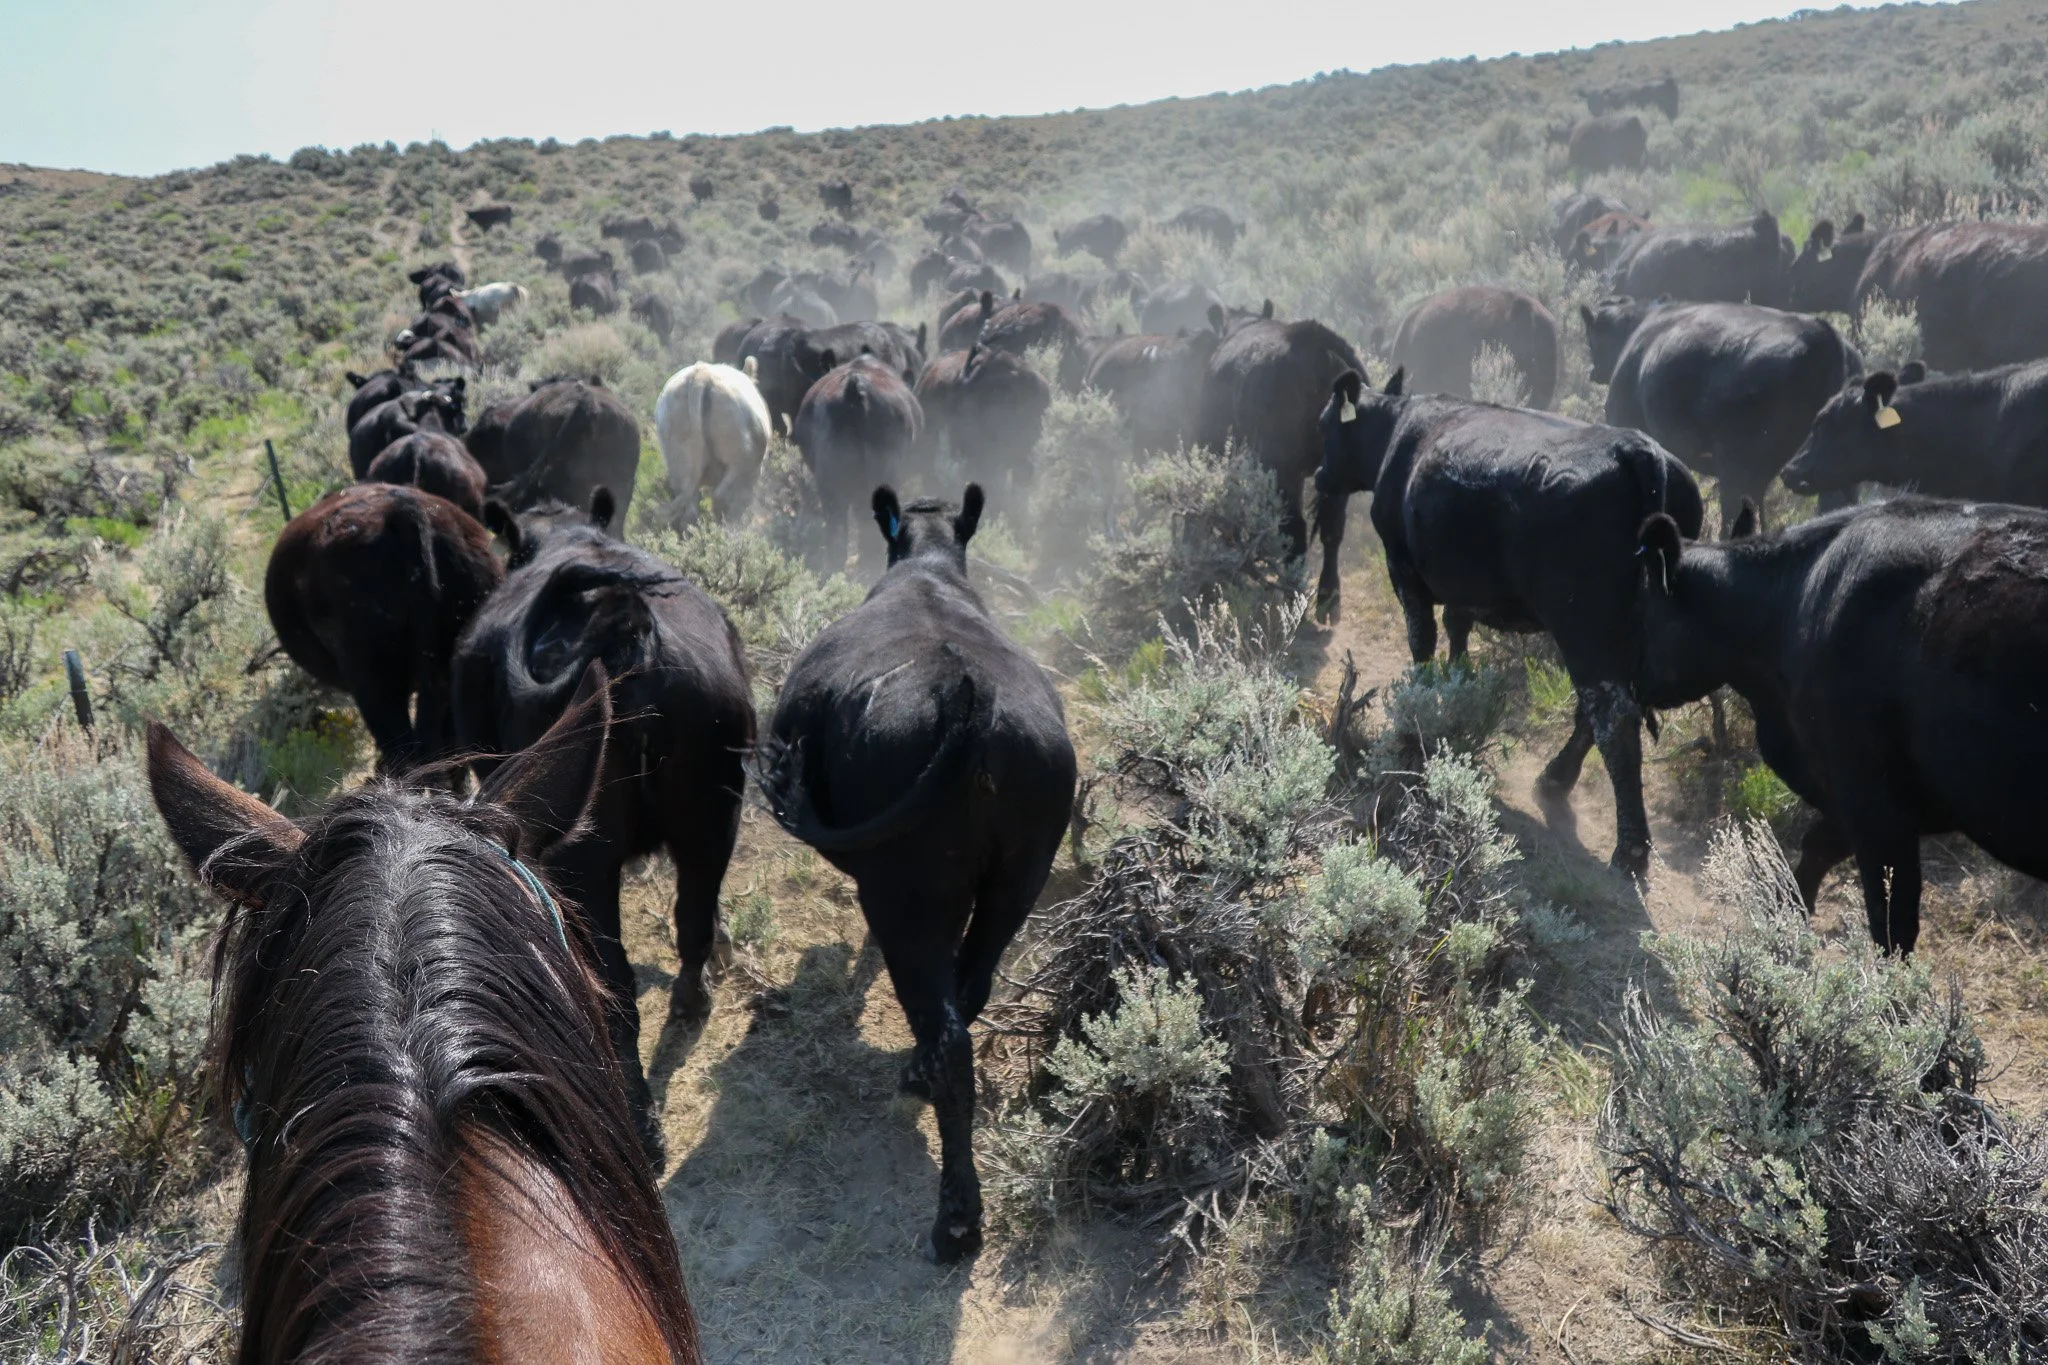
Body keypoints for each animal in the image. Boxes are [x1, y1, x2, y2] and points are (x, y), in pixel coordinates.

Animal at [454, 488, 755, 1157]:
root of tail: (628, 630)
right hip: (713, 814)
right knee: (692, 920)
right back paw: (693, 996)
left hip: (587, 855)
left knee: (614, 986)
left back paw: (640, 1121)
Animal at [757, 484, 1075, 1262]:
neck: (928, 566)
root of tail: (974, 707)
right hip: (1017, 880)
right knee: (969, 987)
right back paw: (920, 1075)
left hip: (909, 896)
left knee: (950, 1033)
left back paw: (957, 1218)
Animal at [1313, 369, 1704, 876]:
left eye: (1325, 426)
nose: (1320, 476)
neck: (1399, 431)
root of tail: (1638, 449)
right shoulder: (1464, 584)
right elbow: (1457, 631)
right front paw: (1456, 687)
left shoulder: (1403, 567)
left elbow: (1422, 640)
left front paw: (1418, 706)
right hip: (1623, 635)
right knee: (1598, 710)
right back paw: (1555, 779)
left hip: (1585, 626)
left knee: (1613, 719)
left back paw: (1630, 849)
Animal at [1635, 496, 2048, 953]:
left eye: (1644, 610)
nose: (1632, 684)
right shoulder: (1862, 793)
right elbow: (1818, 845)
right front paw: (1786, 918)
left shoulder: (1872, 797)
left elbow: (1891, 922)